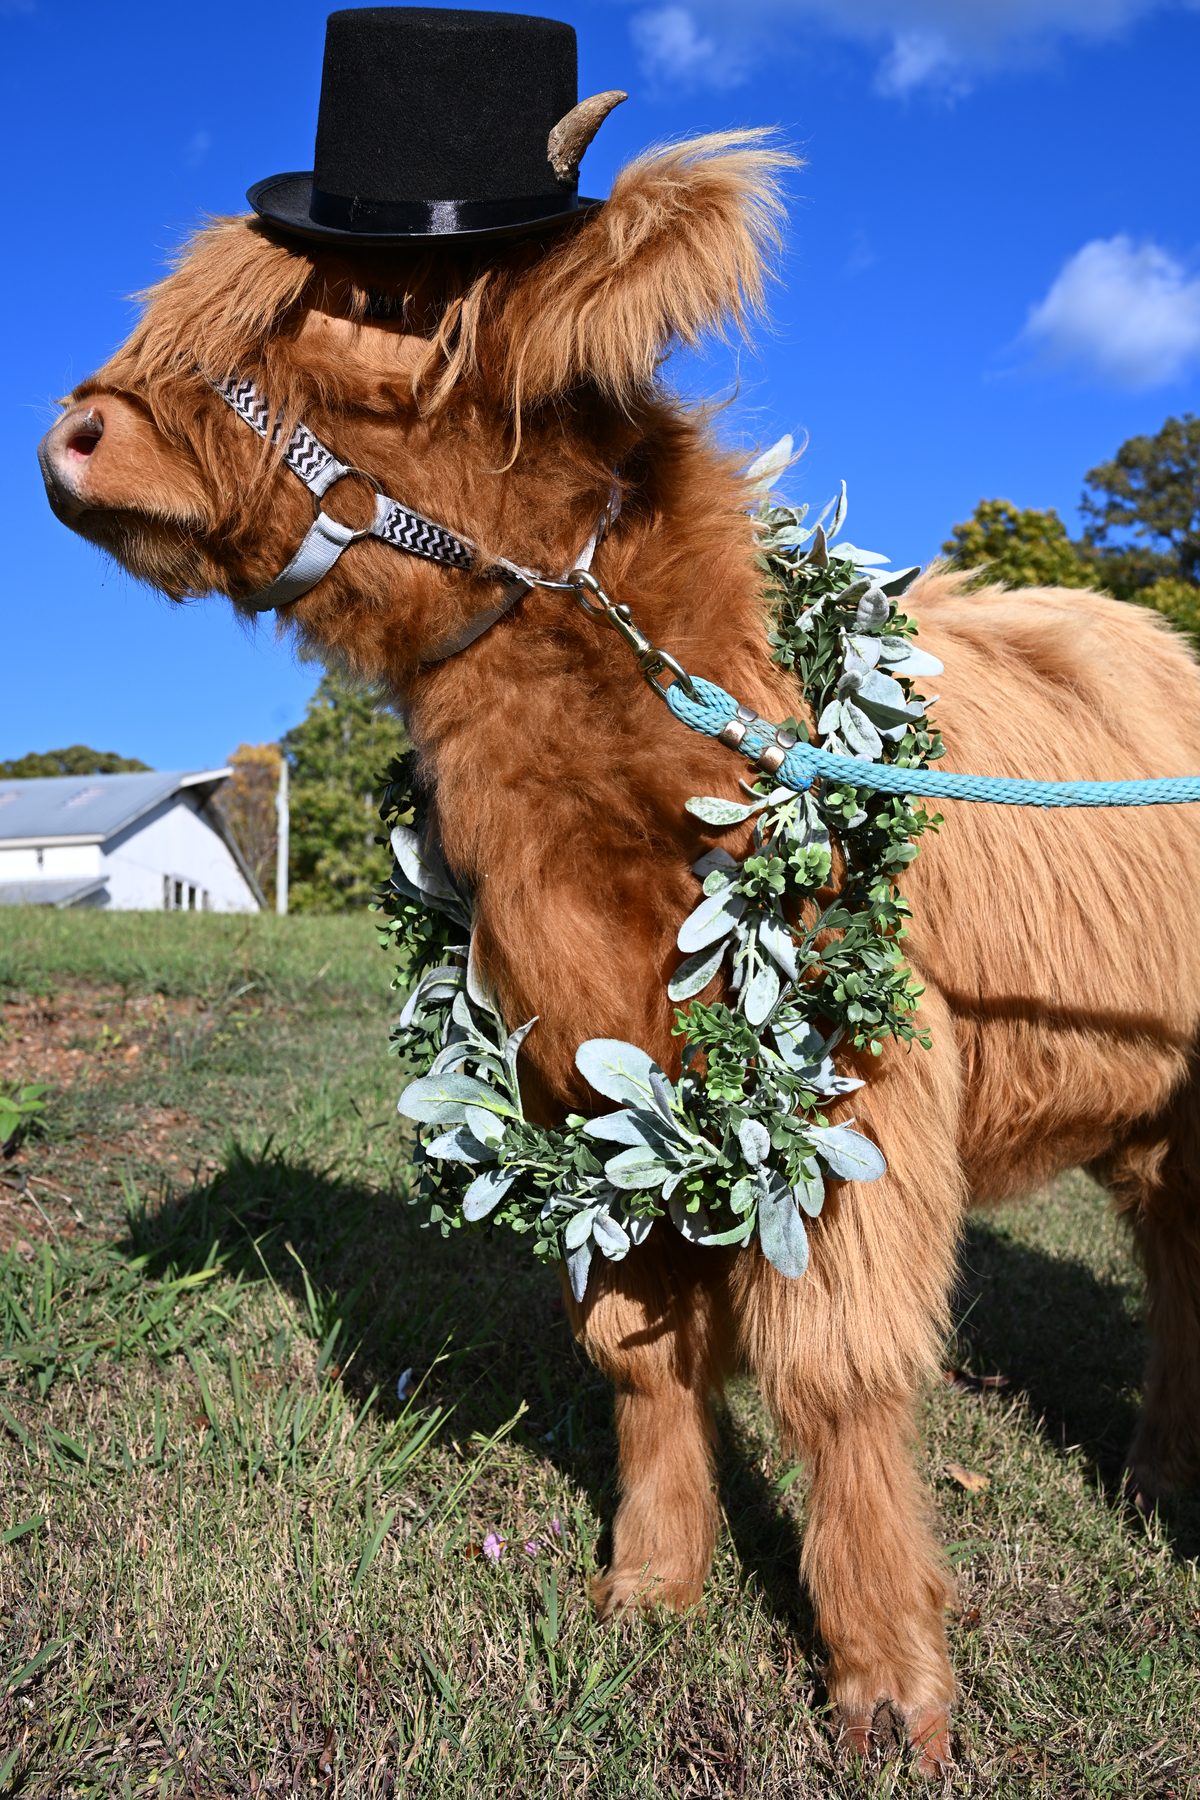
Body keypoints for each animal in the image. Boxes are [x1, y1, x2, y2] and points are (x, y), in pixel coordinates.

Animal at [37, 130, 1200, 1773]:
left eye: (383, 305)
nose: (70, 436)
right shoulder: (588, 1089)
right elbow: (641, 1347)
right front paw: (649, 1588)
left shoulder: (855, 1096)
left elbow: (837, 1376)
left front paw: (889, 1681)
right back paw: (1159, 1476)